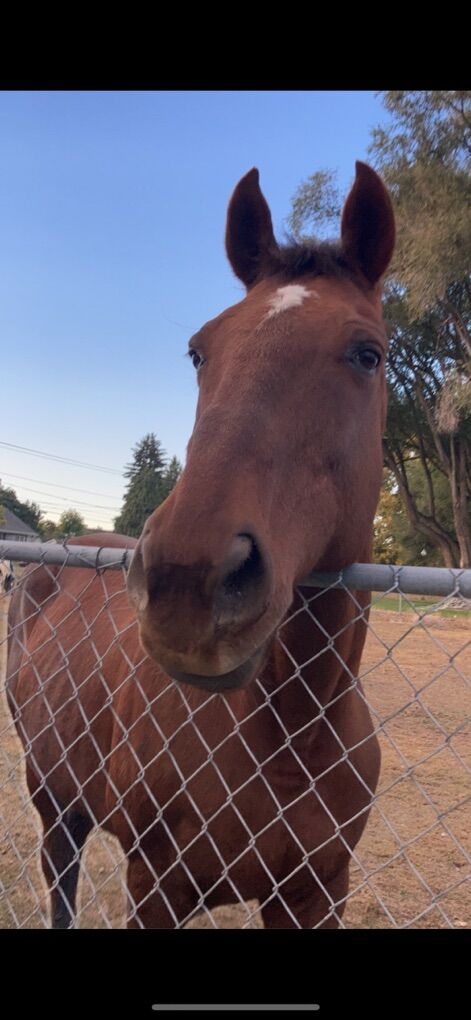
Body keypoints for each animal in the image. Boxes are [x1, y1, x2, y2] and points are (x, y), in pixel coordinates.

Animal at [7, 160, 395, 928]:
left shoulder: (316, 895)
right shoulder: (157, 886)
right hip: (52, 796)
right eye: (198, 351)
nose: (187, 581)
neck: (289, 739)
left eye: (367, 354)